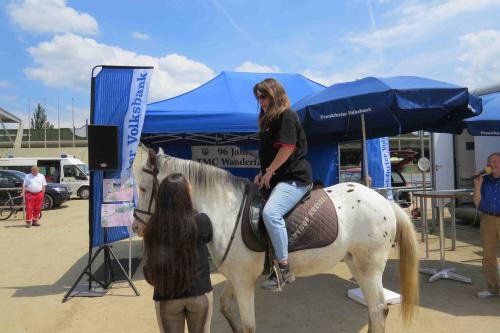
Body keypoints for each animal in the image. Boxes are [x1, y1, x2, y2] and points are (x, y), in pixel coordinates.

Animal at [133, 148, 418, 332]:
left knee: (378, 309)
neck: (226, 211)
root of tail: (385, 202)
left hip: (370, 267)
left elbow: (248, 325)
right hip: (356, 264)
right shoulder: (236, 277)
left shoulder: (243, 280)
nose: (136, 225)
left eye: (144, 188)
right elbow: (225, 308)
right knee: (374, 309)